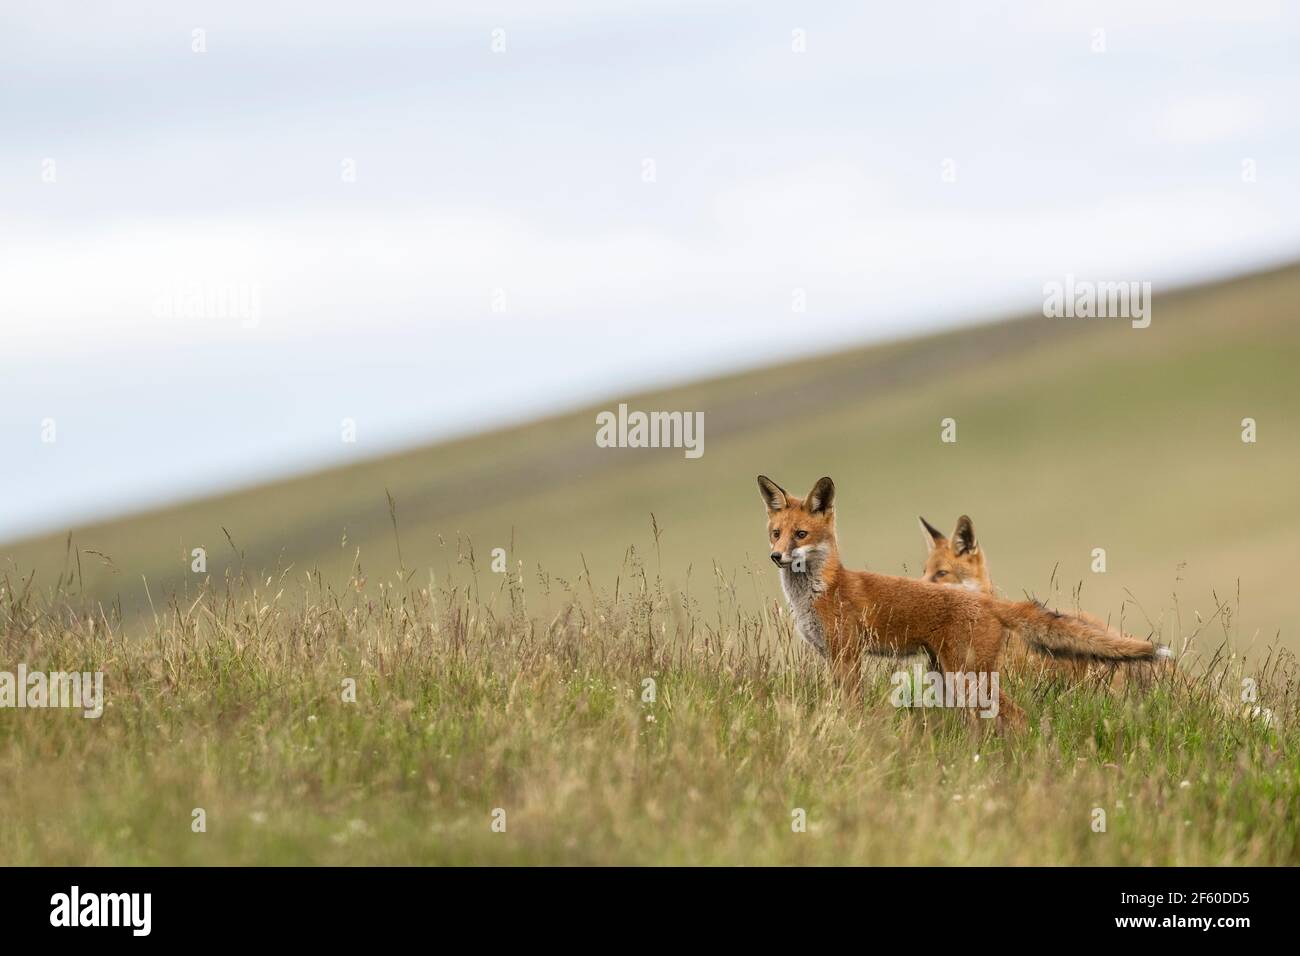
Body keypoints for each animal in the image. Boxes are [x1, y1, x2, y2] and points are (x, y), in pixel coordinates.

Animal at [754, 476, 1170, 728]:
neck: (821, 591)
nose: (775, 556)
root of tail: (990, 602)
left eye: (801, 534)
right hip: (949, 676)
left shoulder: (848, 655)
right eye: (776, 533)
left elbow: (852, 706)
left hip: (968, 676)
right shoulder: (831, 657)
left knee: (1016, 716)